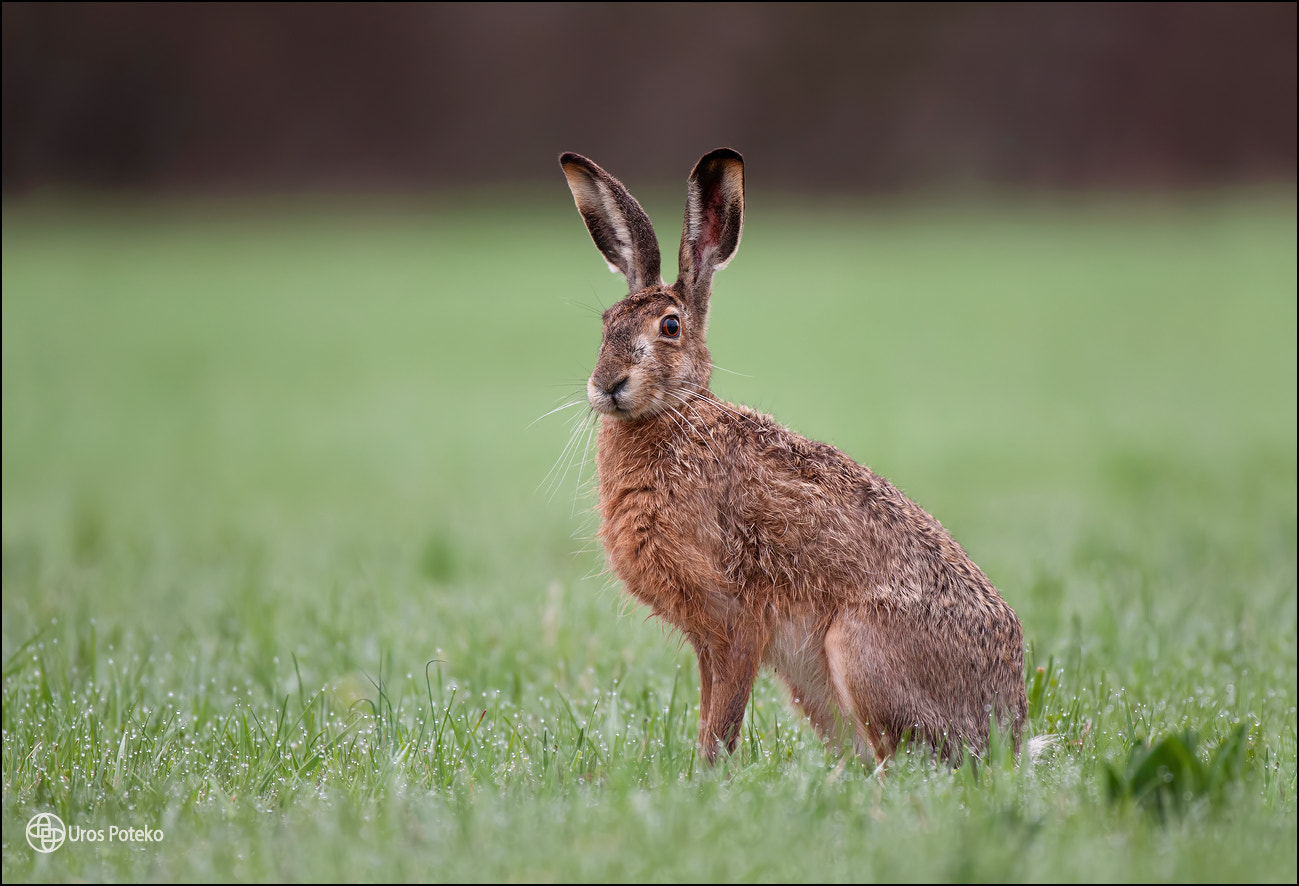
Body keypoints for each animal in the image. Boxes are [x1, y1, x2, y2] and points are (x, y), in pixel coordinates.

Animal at [559, 147, 1027, 767]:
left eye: (670, 326)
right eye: (606, 325)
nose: (607, 385)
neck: (678, 416)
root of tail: (1009, 734)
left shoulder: (734, 621)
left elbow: (722, 720)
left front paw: (706, 776)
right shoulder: (709, 639)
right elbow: (709, 712)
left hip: (858, 651)